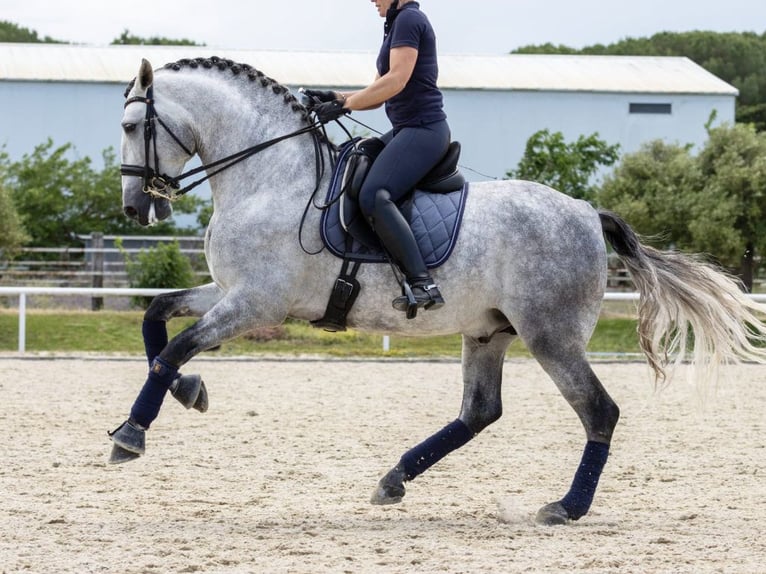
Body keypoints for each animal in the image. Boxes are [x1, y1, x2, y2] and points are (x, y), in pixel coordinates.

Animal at [111, 57, 766, 528]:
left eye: (129, 127)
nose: (136, 208)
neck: (271, 178)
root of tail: (586, 211)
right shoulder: (230, 292)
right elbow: (156, 317)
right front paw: (189, 391)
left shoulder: (255, 302)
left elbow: (176, 347)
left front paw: (131, 435)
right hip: (488, 331)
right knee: (480, 411)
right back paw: (394, 478)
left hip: (551, 336)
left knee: (598, 410)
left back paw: (565, 508)